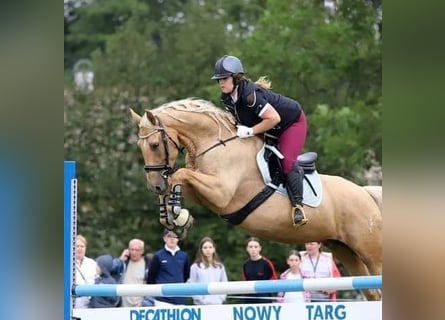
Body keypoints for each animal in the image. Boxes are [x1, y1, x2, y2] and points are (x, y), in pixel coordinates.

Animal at [129, 97, 382, 300]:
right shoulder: (204, 193)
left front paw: (177, 213)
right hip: (344, 250)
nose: (154, 184)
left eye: (154, 145)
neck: (214, 145)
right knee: (372, 292)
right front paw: (175, 217)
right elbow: (176, 180)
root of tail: (365, 193)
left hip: (369, 251)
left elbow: (180, 174)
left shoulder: (221, 193)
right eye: (140, 146)